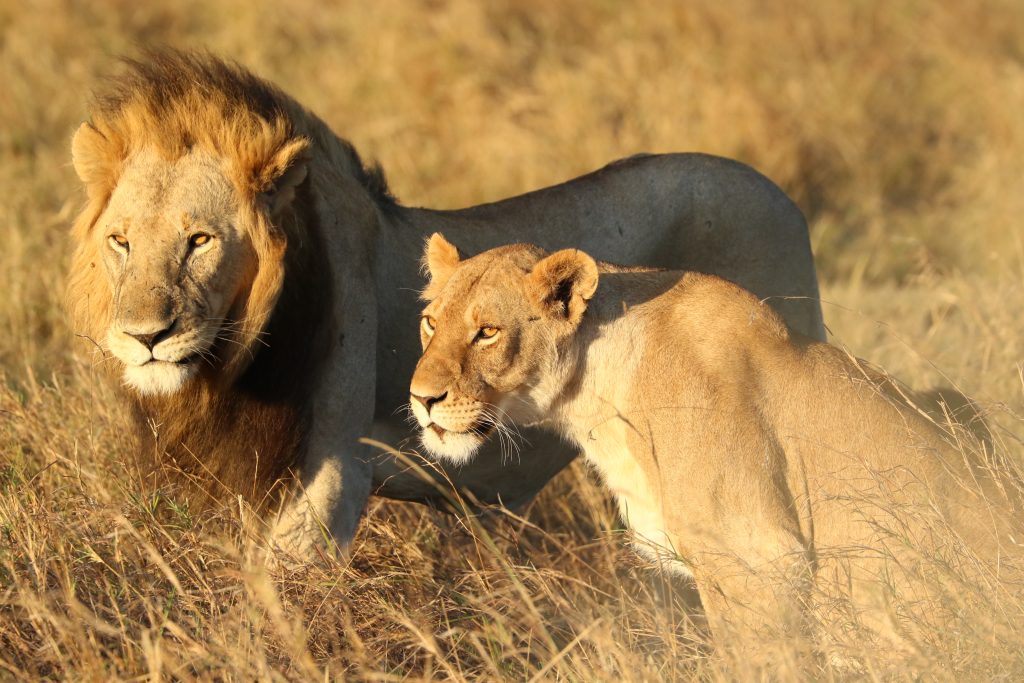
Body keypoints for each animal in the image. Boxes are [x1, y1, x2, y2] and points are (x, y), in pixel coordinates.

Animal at [67, 49, 826, 556]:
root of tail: (784, 198)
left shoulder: (329, 479)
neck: (228, 365)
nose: (145, 337)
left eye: (199, 240)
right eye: (121, 241)